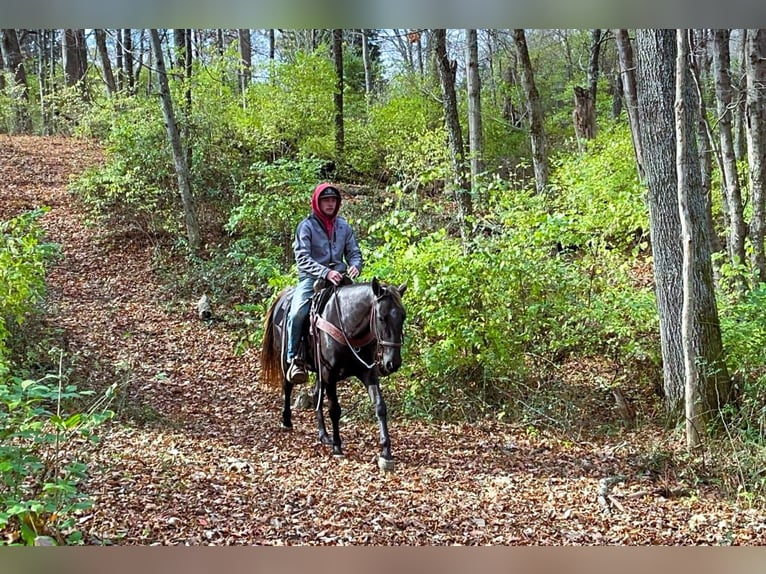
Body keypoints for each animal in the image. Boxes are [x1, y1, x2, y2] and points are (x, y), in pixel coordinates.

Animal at [260, 278, 408, 472]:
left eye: (403, 317)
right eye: (381, 318)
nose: (393, 363)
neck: (347, 324)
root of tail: (283, 297)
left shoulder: (367, 372)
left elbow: (380, 406)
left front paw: (386, 453)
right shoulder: (329, 374)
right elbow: (334, 410)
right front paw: (337, 446)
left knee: (316, 395)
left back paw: (323, 435)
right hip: (286, 359)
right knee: (288, 386)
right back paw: (286, 421)